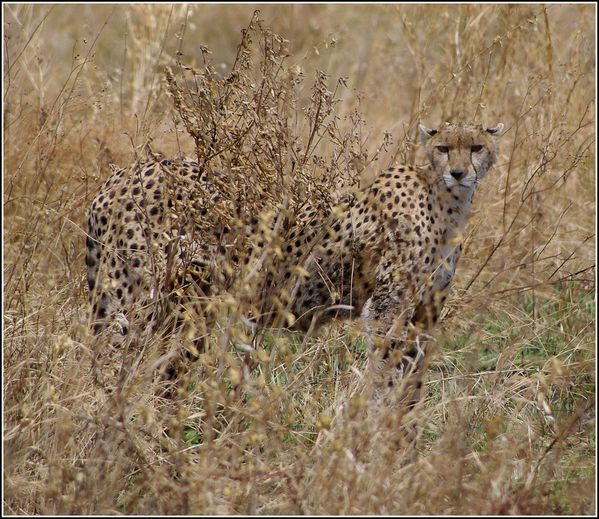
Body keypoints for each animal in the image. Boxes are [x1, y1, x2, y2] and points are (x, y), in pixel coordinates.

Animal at [86, 122, 504, 402]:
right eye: (444, 147)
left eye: (477, 147)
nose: (459, 173)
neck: (446, 203)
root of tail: (121, 175)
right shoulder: (388, 309)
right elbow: (388, 374)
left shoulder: (424, 312)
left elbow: (412, 378)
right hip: (137, 302)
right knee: (110, 358)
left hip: (187, 307)